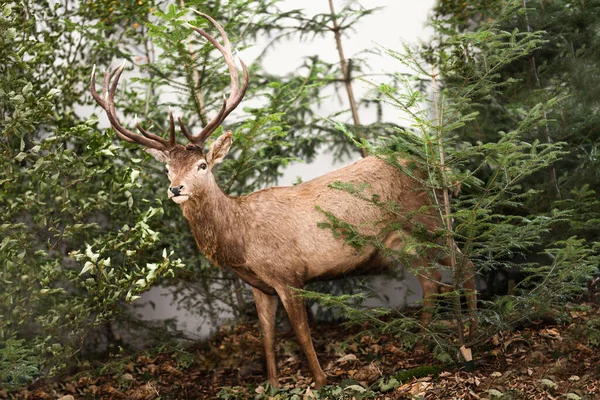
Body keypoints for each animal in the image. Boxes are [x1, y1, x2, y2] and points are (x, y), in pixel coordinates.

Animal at [89, 11, 476, 388]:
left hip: (429, 219)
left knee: (464, 263)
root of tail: (434, 166)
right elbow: (266, 337)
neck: (241, 240)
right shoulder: (259, 286)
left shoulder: (289, 273)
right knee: (431, 281)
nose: (176, 189)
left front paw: (320, 381)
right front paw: (273, 386)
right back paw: (423, 339)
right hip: (402, 241)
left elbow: (302, 334)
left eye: (202, 165)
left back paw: (473, 334)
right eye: (167, 169)